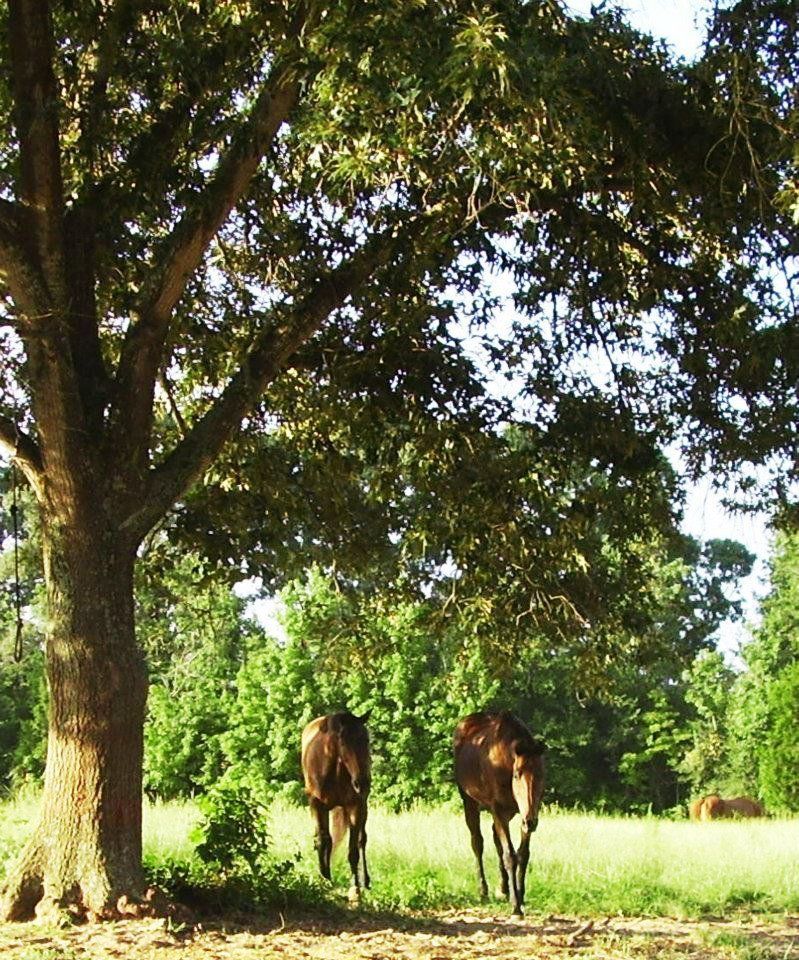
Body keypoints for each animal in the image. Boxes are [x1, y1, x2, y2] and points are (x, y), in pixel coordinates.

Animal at [301, 711, 371, 898]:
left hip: (363, 806)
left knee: (362, 840)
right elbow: (323, 840)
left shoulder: (355, 806)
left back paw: (366, 881)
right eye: (344, 742)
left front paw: (355, 888)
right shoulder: (316, 804)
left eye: (366, 740)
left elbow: (353, 850)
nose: (362, 783)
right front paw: (324, 877)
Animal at [454, 710, 546, 916]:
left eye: (541, 774)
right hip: (469, 802)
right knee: (477, 842)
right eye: (517, 774)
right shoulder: (499, 810)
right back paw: (484, 891)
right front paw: (516, 905)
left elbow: (523, 854)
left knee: (496, 842)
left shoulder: (523, 814)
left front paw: (520, 895)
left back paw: (504, 888)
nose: (531, 822)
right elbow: (510, 855)